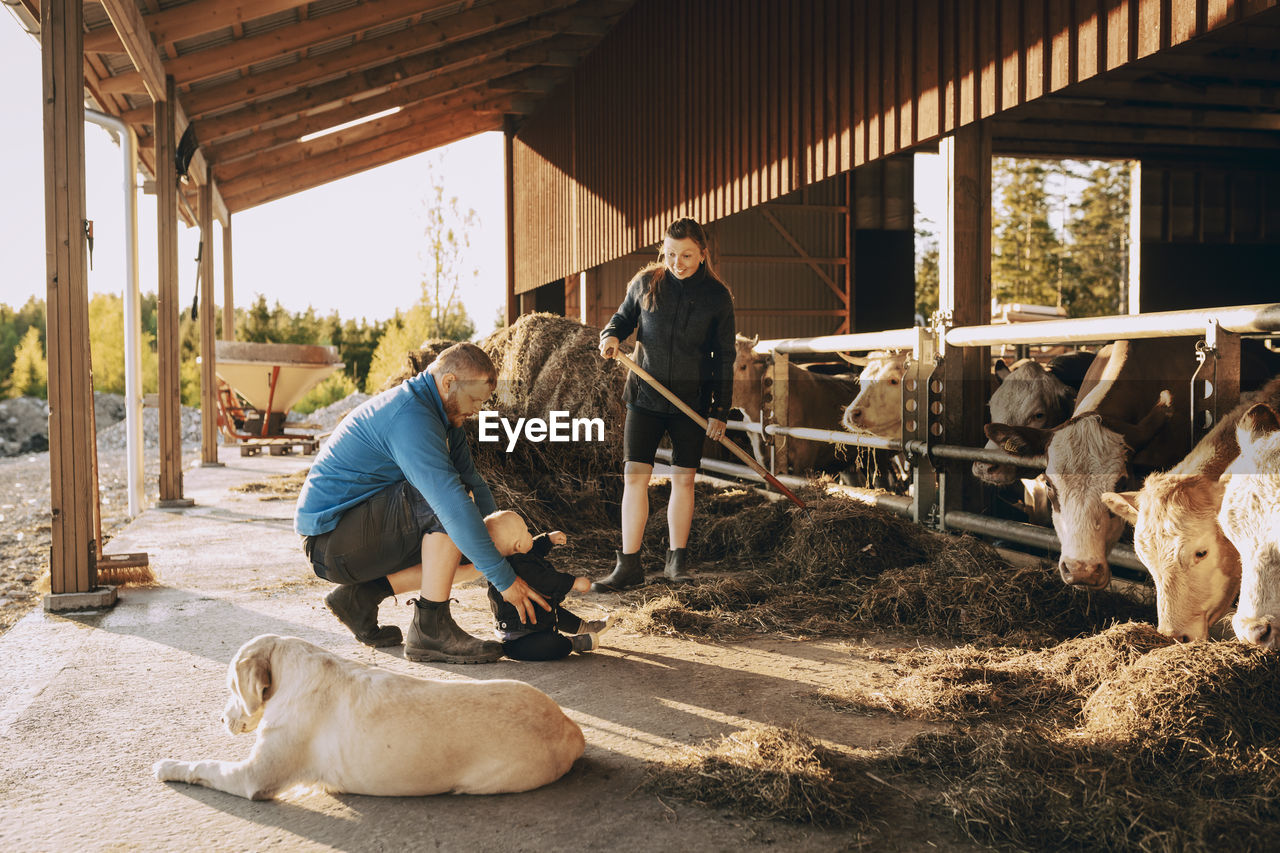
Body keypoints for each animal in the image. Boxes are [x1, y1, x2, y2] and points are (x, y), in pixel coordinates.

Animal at [153, 630, 586, 799]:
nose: (220, 720)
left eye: (230, 687)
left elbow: (203, 765)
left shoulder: (252, 777)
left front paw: (168, 765)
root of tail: (570, 727)